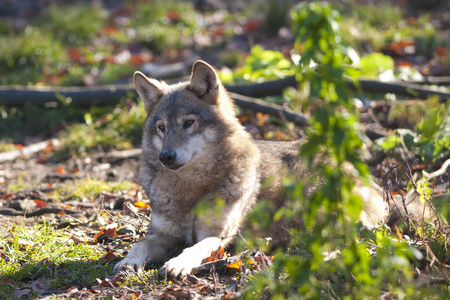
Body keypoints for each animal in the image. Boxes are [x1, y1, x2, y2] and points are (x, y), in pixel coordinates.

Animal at [114, 60, 434, 276]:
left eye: (189, 123)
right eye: (161, 128)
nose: (166, 156)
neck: (191, 189)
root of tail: (374, 184)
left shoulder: (217, 236)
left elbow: (195, 248)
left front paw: (178, 263)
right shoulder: (161, 235)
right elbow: (139, 245)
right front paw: (128, 261)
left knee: (353, 240)